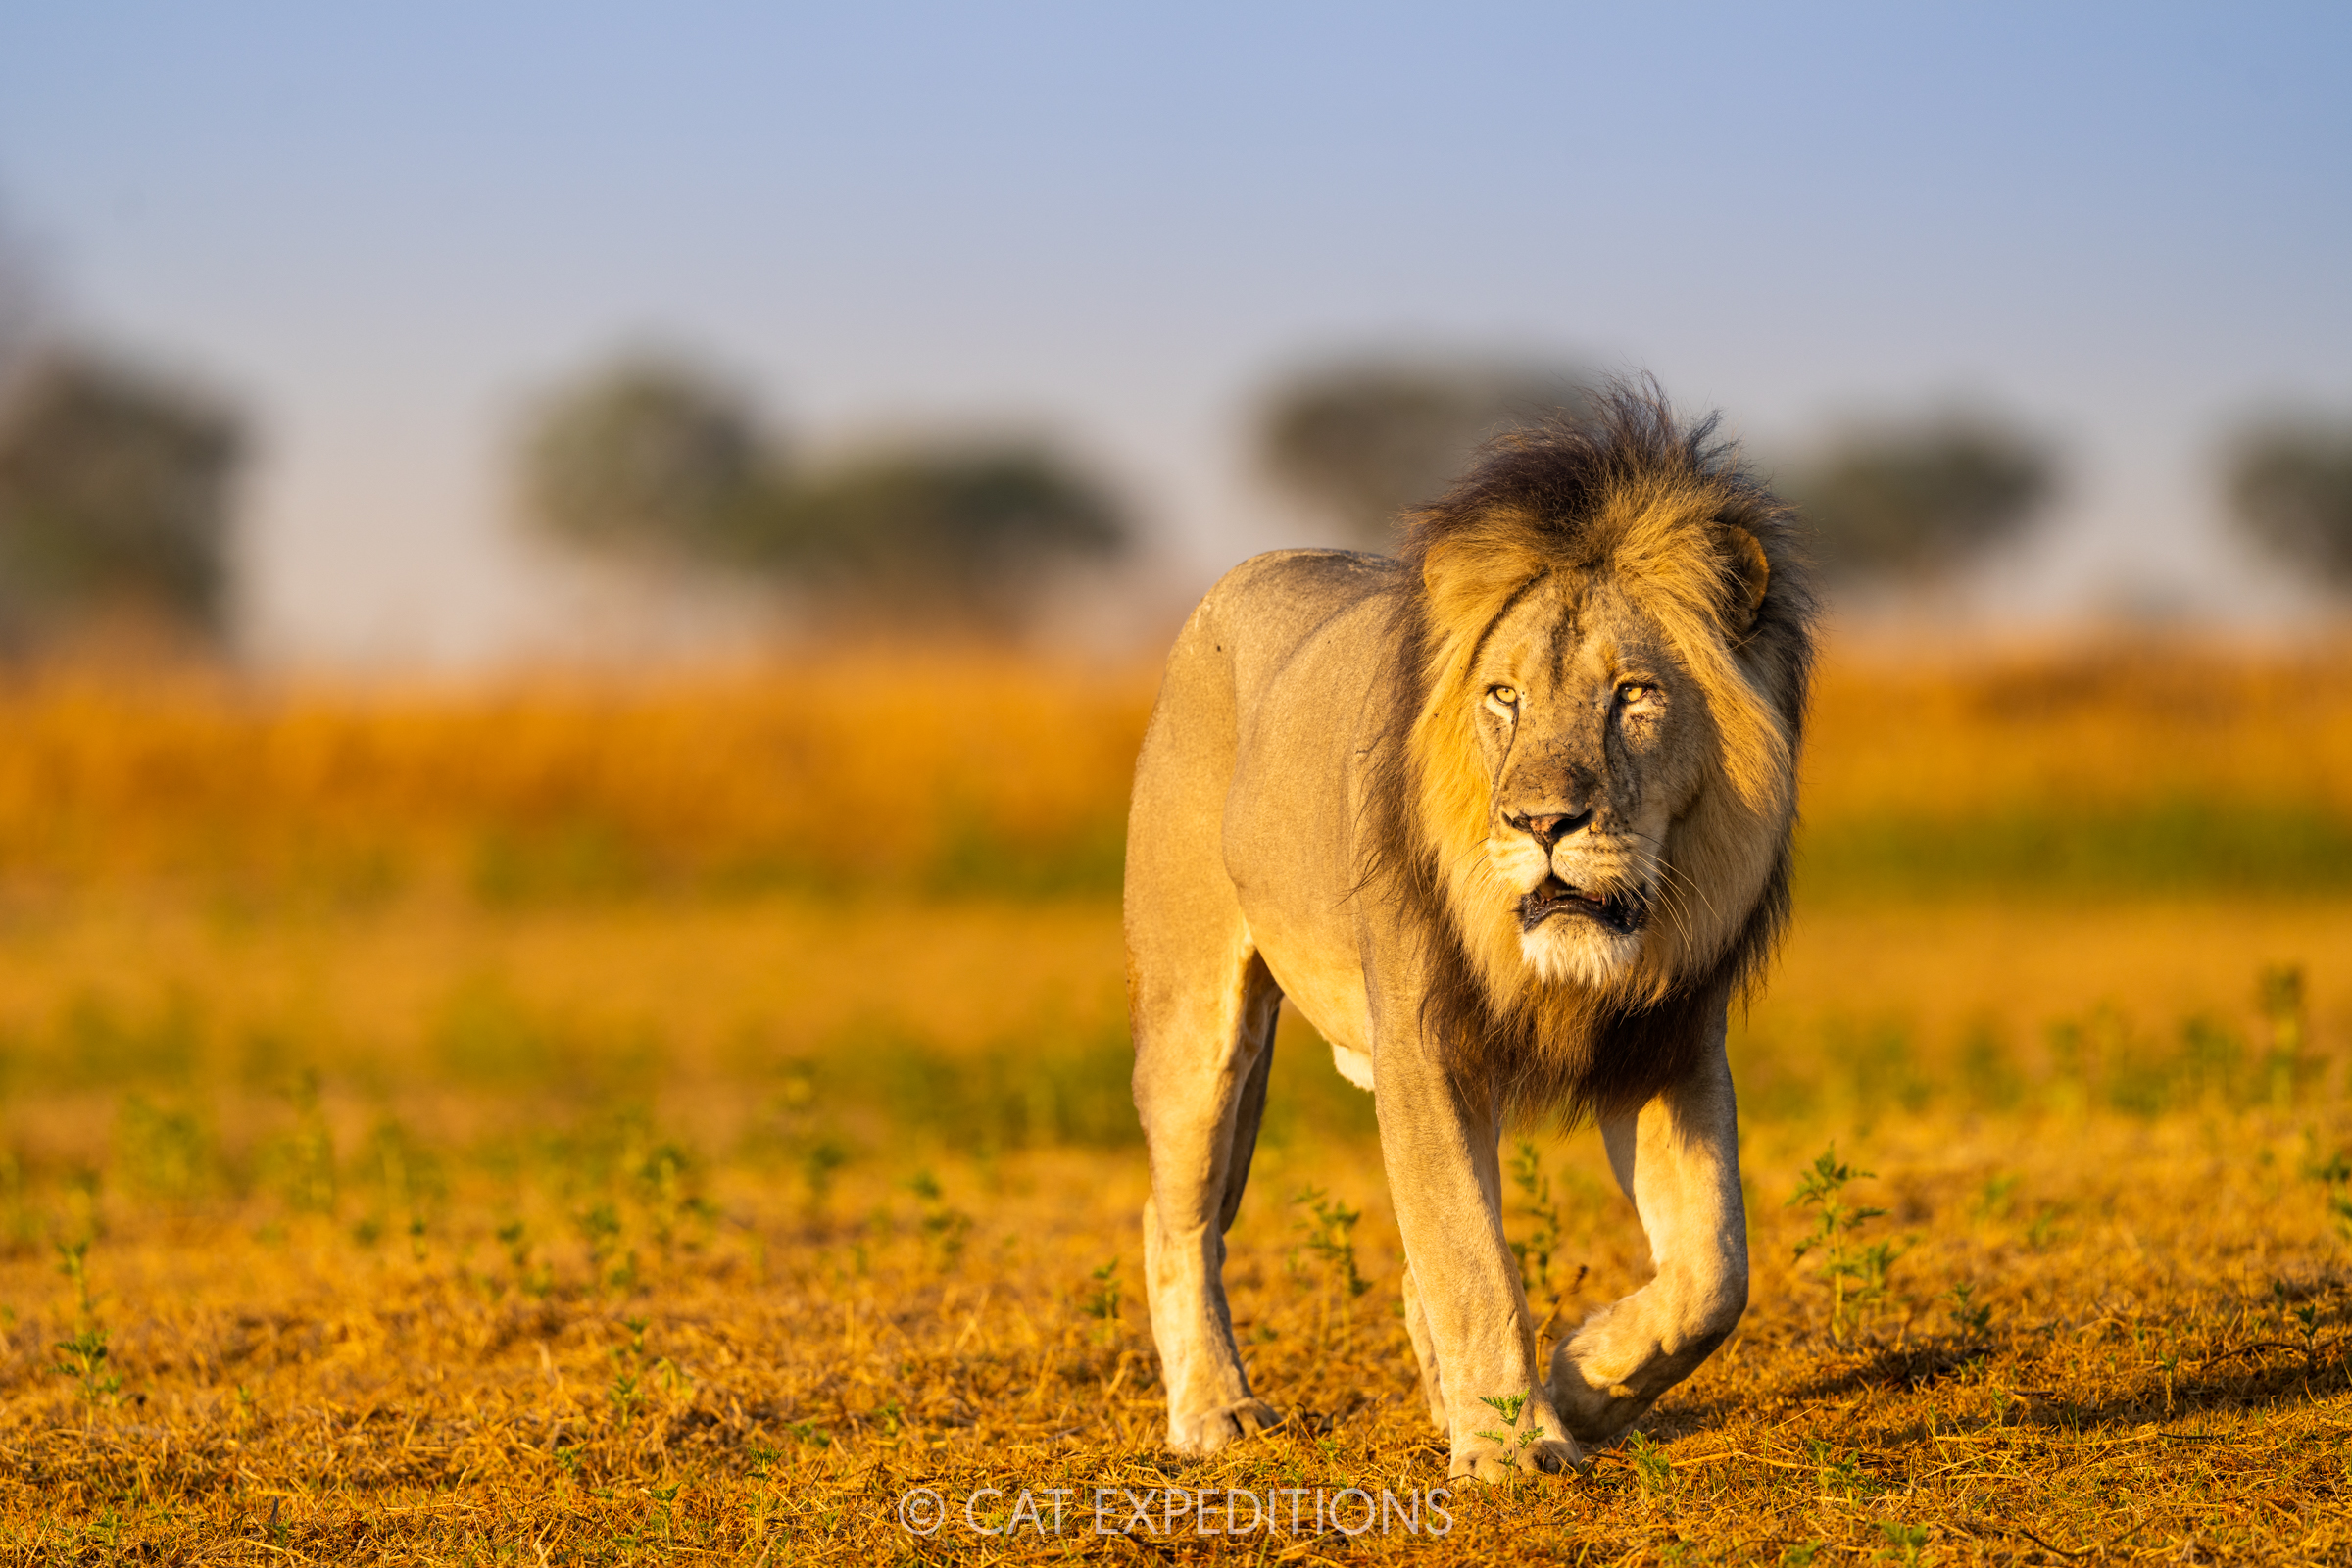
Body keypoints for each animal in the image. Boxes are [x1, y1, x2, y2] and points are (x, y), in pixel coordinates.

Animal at [1125, 383, 1814, 1481]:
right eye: (1505, 696)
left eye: (1634, 694)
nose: (1542, 823)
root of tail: (1242, 574)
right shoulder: (1424, 1042)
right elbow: (1470, 1255)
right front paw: (1514, 1448)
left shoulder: (1669, 1043)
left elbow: (1713, 1273)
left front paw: (1580, 1384)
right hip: (1198, 1018)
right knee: (1176, 1216)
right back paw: (1215, 1413)